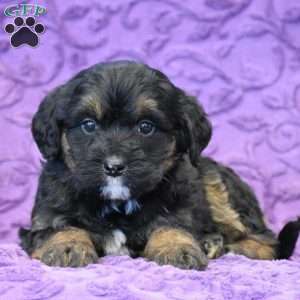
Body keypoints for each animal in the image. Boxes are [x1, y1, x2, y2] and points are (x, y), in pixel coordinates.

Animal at [19, 61, 300, 270]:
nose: (114, 167)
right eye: (89, 124)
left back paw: (222, 245)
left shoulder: (181, 207)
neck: (118, 203)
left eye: (146, 127)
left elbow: (171, 225)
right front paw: (67, 246)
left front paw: (177, 248)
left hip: (215, 183)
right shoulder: (47, 215)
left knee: (264, 240)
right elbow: (59, 227)